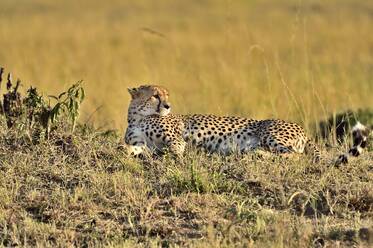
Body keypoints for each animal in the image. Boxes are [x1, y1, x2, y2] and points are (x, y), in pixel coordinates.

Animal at [124, 85, 320, 162]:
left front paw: (178, 155)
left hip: (269, 135)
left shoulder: (176, 140)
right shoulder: (144, 144)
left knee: (296, 156)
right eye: (155, 95)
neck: (138, 117)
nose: (168, 106)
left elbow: (175, 148)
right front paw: (127, 150)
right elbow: (137, 148)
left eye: (166, 95)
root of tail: (302, 129)